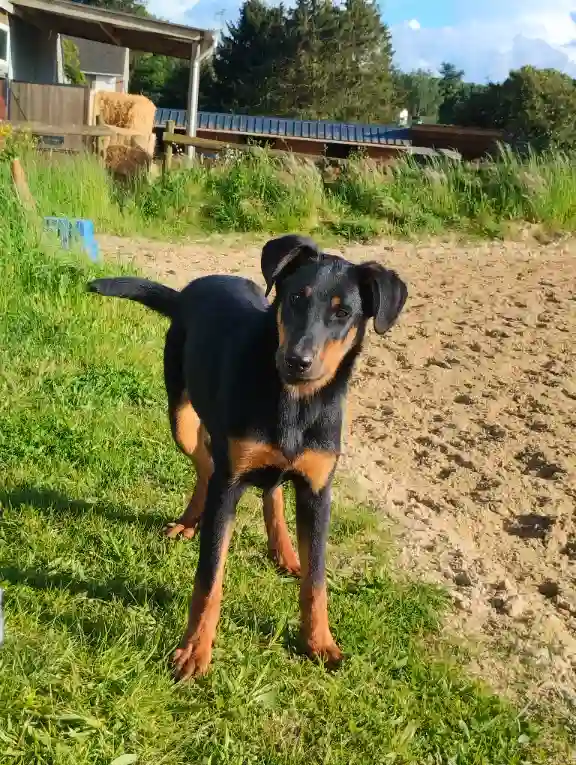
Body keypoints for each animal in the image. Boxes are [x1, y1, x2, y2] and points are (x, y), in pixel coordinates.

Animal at [88, 234, 408, 680]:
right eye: (295, 298)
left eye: (343, 312)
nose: (297, 361)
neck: (294, 403)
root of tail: (187, 292)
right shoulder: (230, 483)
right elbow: (209, 578)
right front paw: (194, 650)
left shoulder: (317, 491)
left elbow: (317, 579)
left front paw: (319, 642)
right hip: (182, 418)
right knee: (205, 463)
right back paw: (190, 521)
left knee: (269, 490)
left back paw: (284, 550)